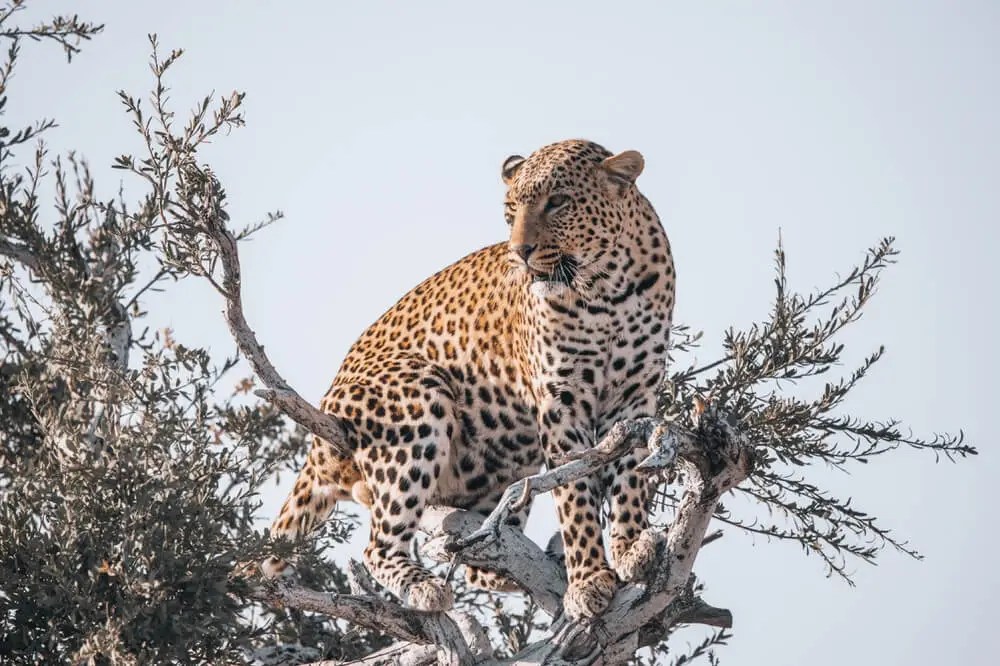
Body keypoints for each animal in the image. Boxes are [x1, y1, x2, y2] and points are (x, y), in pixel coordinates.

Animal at [263, 139, 676, 620]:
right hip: (419, 395)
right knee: (378, 547)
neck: (606, 289)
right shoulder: (560, 399)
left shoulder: (635, 397)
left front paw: (631, 546)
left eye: (558, 202)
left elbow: (631, 476)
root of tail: (316, 444)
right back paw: (425, 588)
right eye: (511, 209)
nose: (521, 251)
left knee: (479, 559)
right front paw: (589, 579)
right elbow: (574, 494)